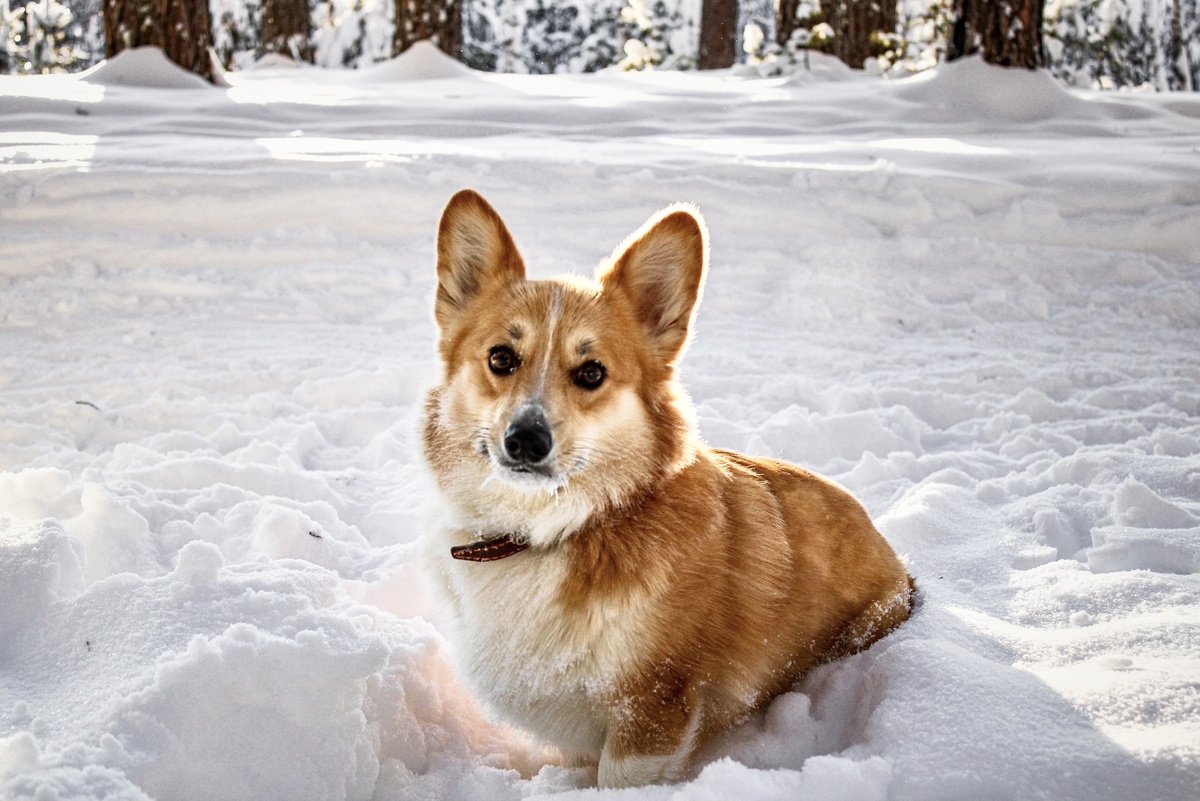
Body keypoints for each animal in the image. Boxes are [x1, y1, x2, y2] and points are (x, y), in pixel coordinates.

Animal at [417, 189, 912, 786]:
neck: (548, 530)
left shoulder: (650, 709)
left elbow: (617, 781)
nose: (525, 440)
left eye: (591, 372)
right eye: (500, 358)